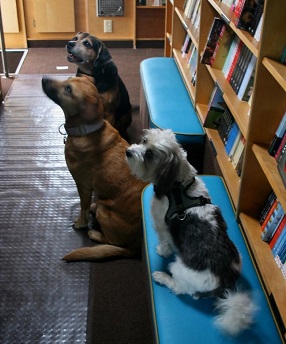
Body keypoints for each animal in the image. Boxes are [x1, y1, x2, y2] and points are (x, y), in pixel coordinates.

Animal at [41, 74, 146, 258]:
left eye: (68, 89)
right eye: (68, 79)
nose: (43, 79)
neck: (87, 130)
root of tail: (135, 247)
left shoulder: (82, 185)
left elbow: (82, 206)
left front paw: (81, 223)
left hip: (105, 213)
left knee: (113, 242)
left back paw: (95, 233)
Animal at [126, 128, 256, 336]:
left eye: (150, 154)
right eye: (144, 140)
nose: (129, 151)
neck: (180, 186)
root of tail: (225, 280)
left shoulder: (161, 223)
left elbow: (164, 239)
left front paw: (163, 250)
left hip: (179, 270)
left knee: (180, 288)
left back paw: (163, 277)